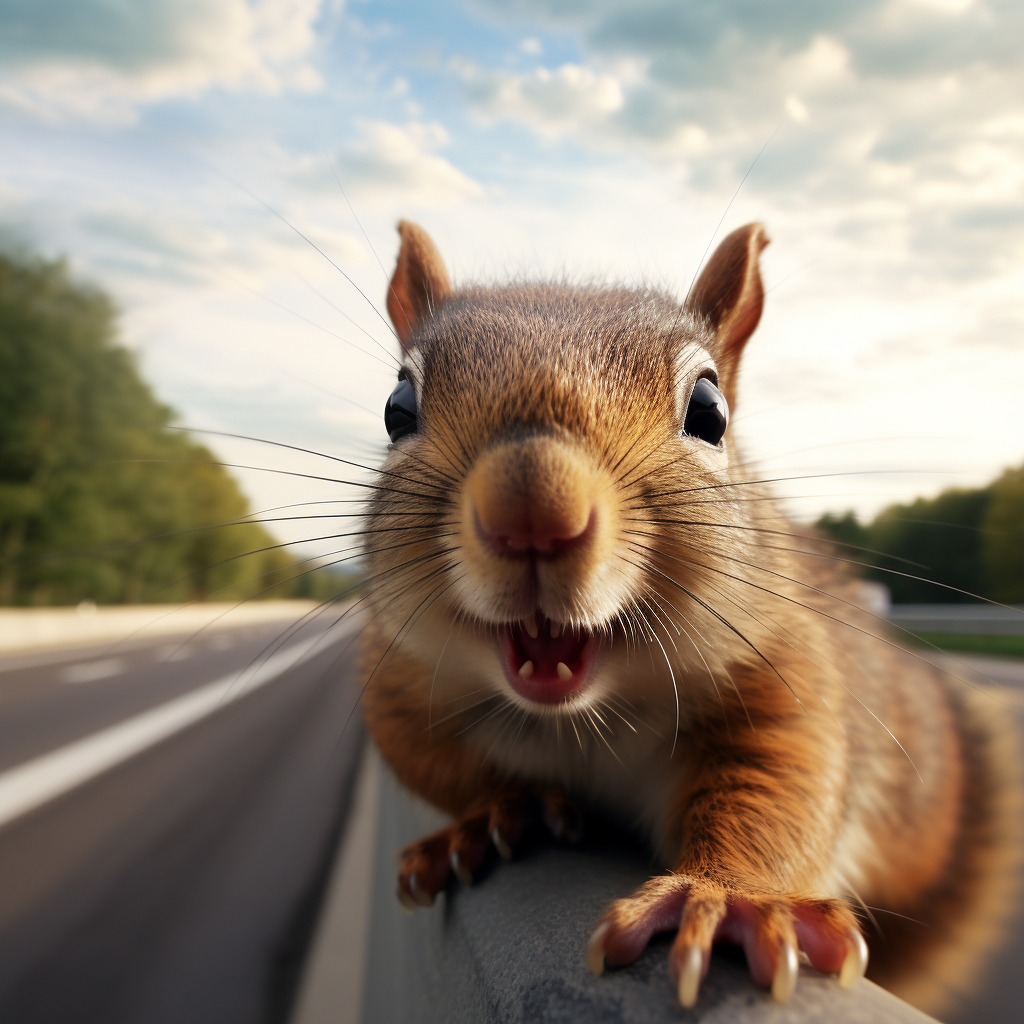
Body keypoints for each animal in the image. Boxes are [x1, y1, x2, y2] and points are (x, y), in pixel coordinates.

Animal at [356, 218, 1019, 1015]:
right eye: (397, 408)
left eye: (709, 410)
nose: (533, 509)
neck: (581, 716)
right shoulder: (398, 686)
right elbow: (444, 770)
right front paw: (488, 817)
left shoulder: (782, 673)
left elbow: (781, 785)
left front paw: (730, 899)